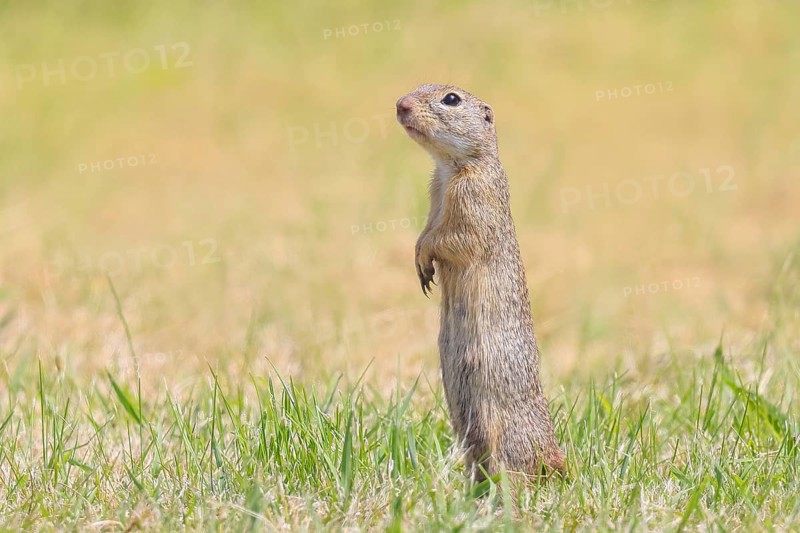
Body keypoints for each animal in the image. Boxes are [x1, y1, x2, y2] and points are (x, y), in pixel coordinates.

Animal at [396, 84, 565, 481]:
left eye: (451, 99)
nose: (400, 105)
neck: (449, 169)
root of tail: (554, 452)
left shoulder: (473, 198)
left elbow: (452, 238)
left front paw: (426, 259)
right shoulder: (434, 195)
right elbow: (425, 231)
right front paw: (420, 266)